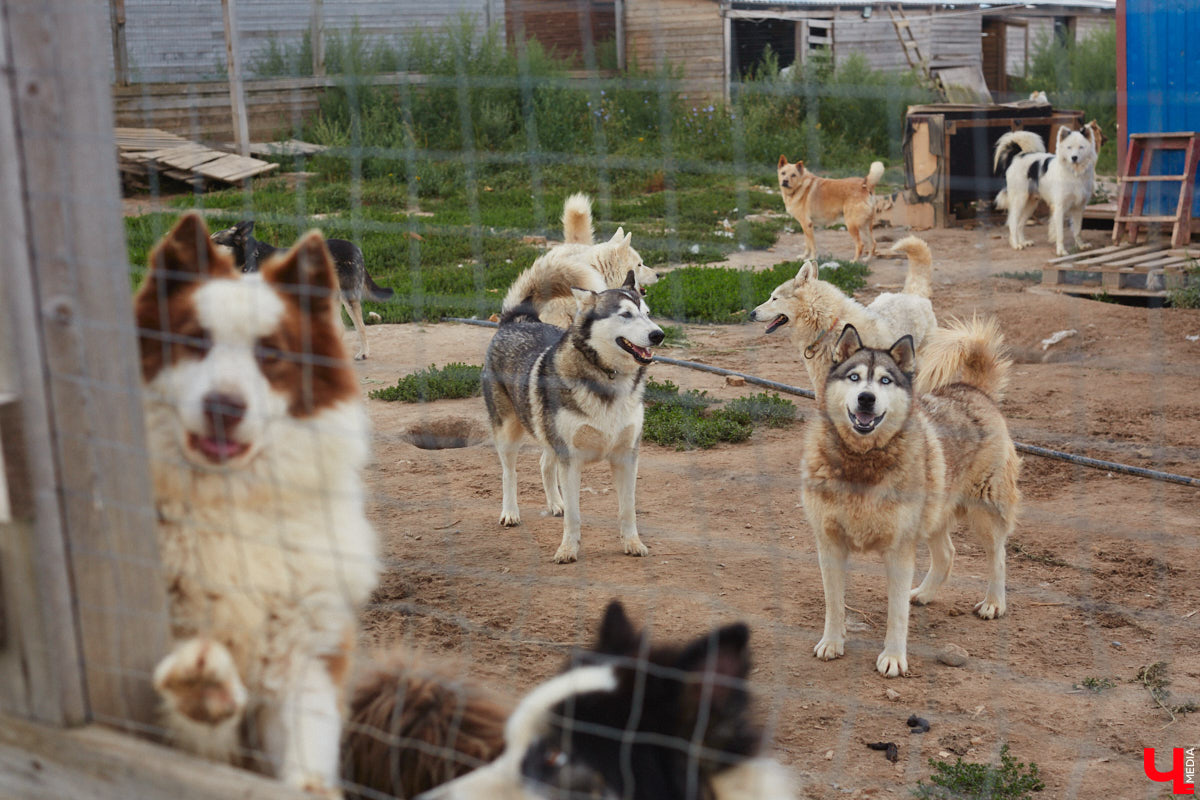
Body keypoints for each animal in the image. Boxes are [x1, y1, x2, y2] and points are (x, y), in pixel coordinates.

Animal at [208, 217, 391, 357]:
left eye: (216, 242)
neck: (247, 261)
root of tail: (355, 248)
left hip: (347, 297)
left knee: (359, 326)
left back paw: (362, 353)